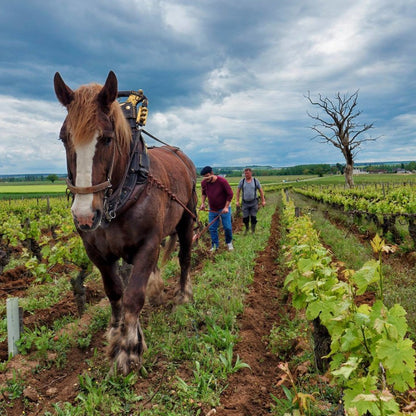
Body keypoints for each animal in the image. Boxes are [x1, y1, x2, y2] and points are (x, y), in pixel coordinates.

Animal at [54, 70, 197, 374]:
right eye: (63, 138)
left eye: (107, 139)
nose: (84, 216)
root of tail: (179, 154)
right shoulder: (97, 252)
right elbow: (115, 293)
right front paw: (117, 331)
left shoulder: (148, 244)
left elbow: (133, 296)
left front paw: (129, 349)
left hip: (186, 220)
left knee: (185, 259)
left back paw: (182, 295)